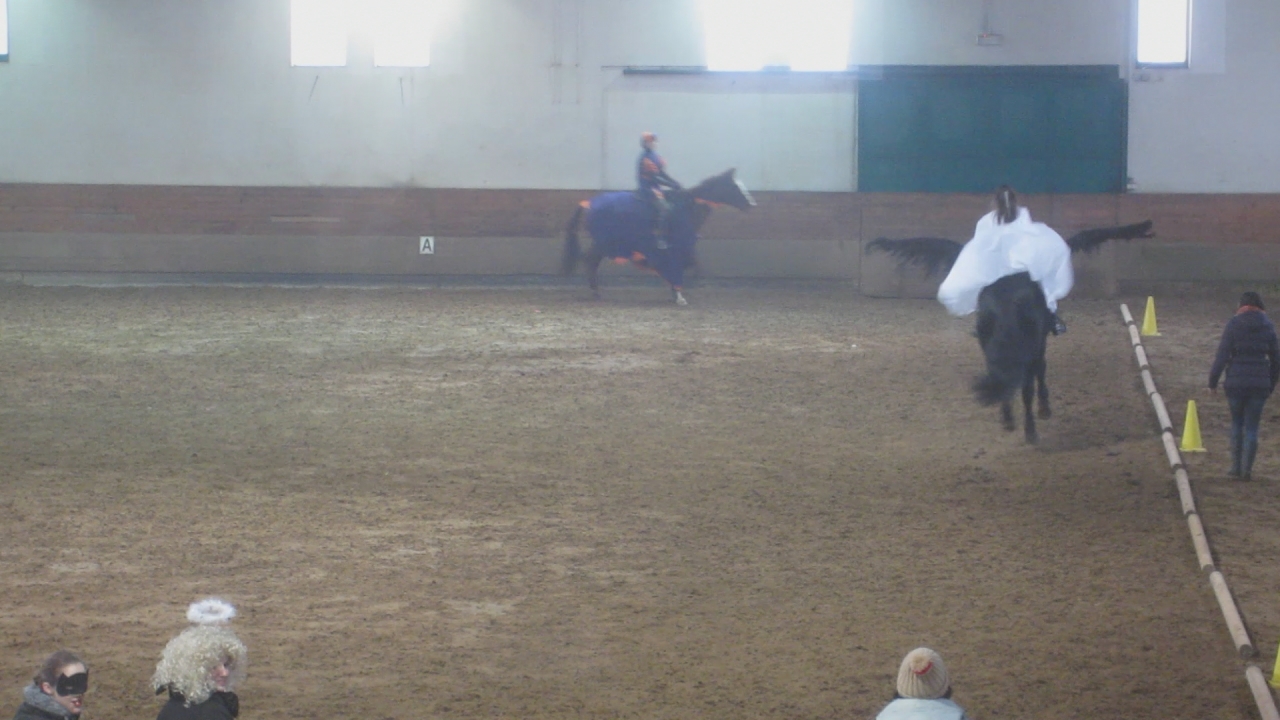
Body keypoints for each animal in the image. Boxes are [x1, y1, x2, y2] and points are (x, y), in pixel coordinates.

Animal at [565, 167, 752, 302]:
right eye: (735, 186)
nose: (751, 204)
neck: (686, 207)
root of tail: (588, 203)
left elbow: (691, 264)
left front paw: (678, 292)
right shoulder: (677, 247)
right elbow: (682, 265)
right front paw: (679, 295)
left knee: (590, 260)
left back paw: (595, 291)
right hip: (603, 242)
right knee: (590, 260)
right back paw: (595, 291)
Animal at [870, 220, 1152, 443]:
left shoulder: (1027, 352)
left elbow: (1028, 387)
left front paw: (1030, 426)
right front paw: (1016, 422)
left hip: (1038, 345)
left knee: (1040, 370)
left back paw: (1043, 408)